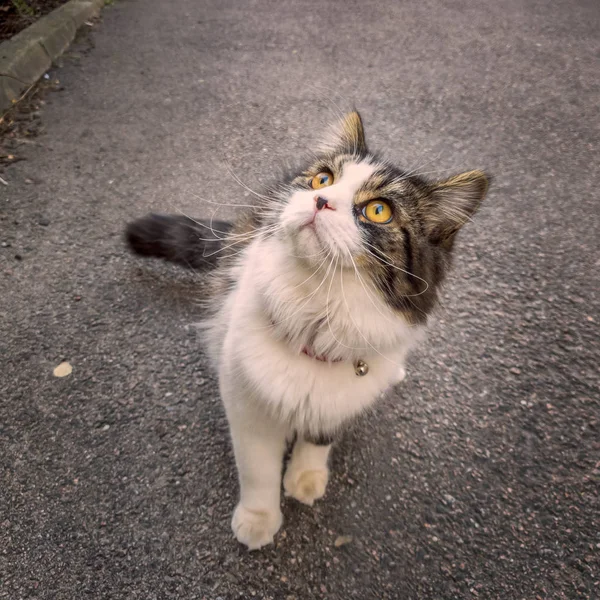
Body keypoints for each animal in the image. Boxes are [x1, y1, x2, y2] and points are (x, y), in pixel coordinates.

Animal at [125, 111, 488, 548]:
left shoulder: (338, 403)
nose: (320, 201)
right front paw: (258, 520)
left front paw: (306, 477)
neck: (319, 310)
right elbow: (258, 471)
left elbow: (318, 439)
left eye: (378, 210)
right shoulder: (247, 405)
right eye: (322, 180)